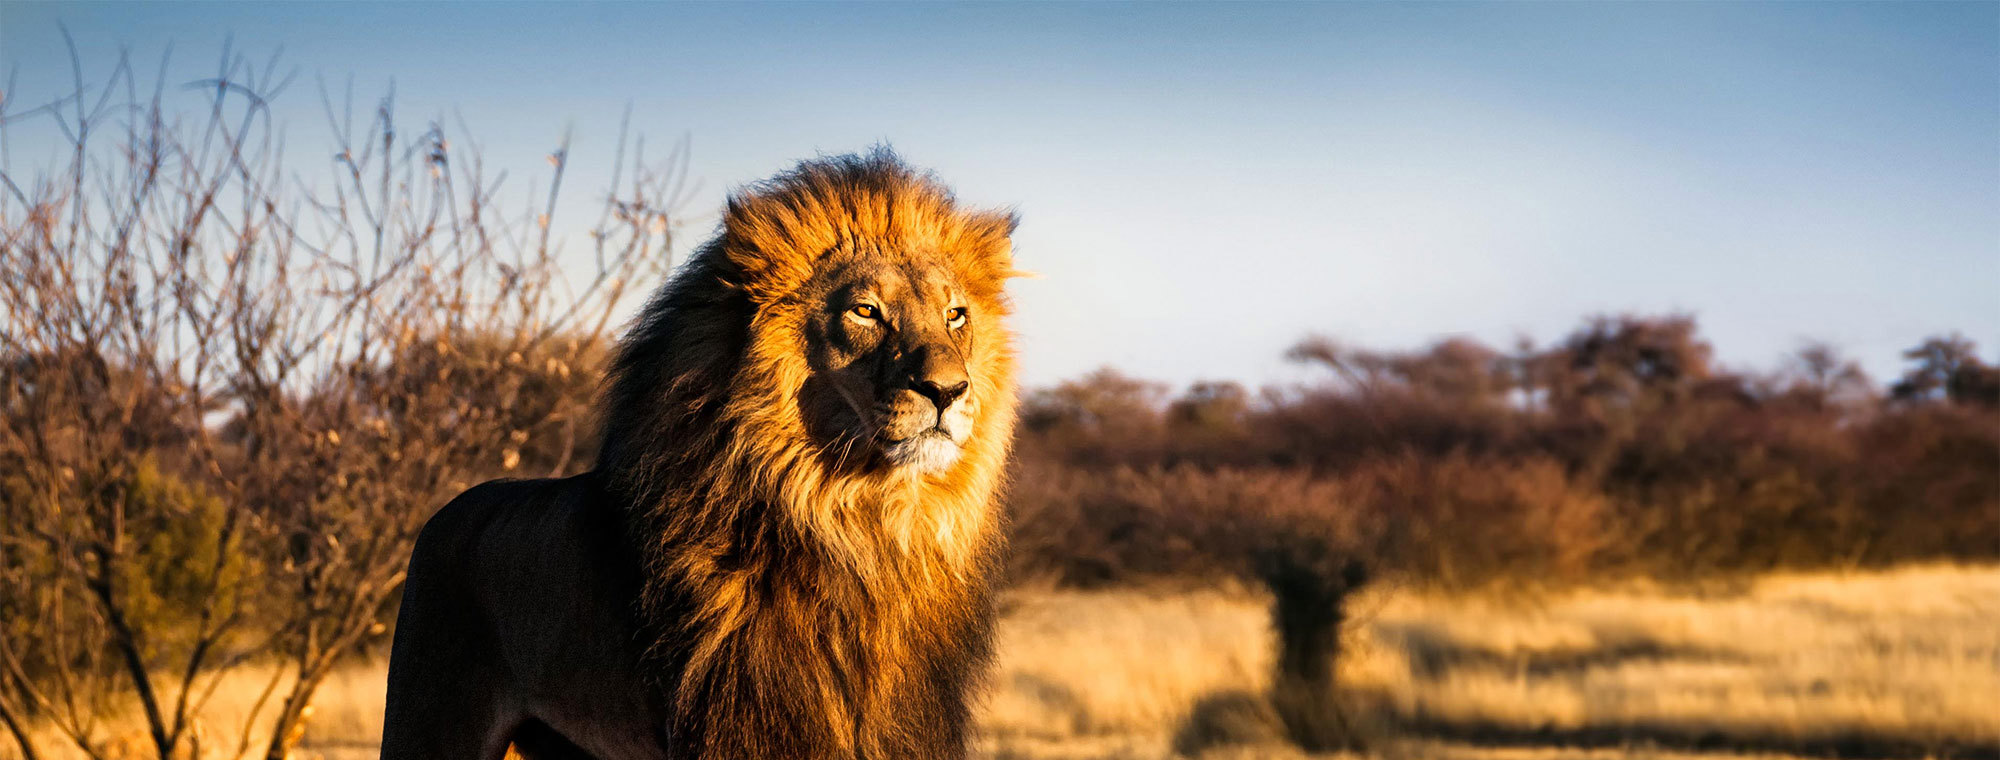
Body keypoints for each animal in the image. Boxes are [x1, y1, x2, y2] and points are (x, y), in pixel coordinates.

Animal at [380, 150, 1023, 760]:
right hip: (428, 726)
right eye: (865, 311)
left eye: (955, 315)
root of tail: (443, 514)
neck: (865, 526)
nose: (948, 390)